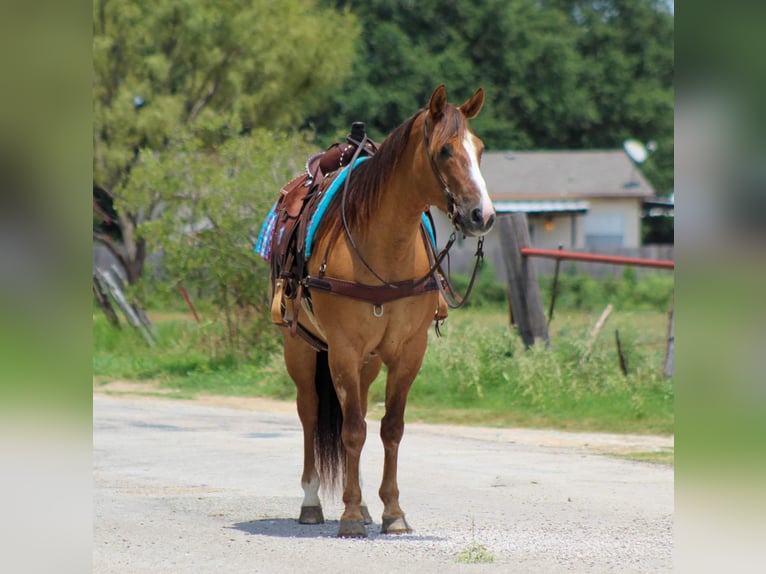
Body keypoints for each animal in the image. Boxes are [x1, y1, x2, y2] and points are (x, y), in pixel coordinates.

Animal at [267, 84, 495, 538]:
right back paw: (312, 502)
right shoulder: (343, 350)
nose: (483, 215)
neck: (385, 250)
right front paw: (351, 517)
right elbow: (353, 430)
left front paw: (391, 511)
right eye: (445, 150)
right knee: (310, 412)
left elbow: (390, 427)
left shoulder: (408, 351)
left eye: (479, 149)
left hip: (367, 362)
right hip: (299, 349)